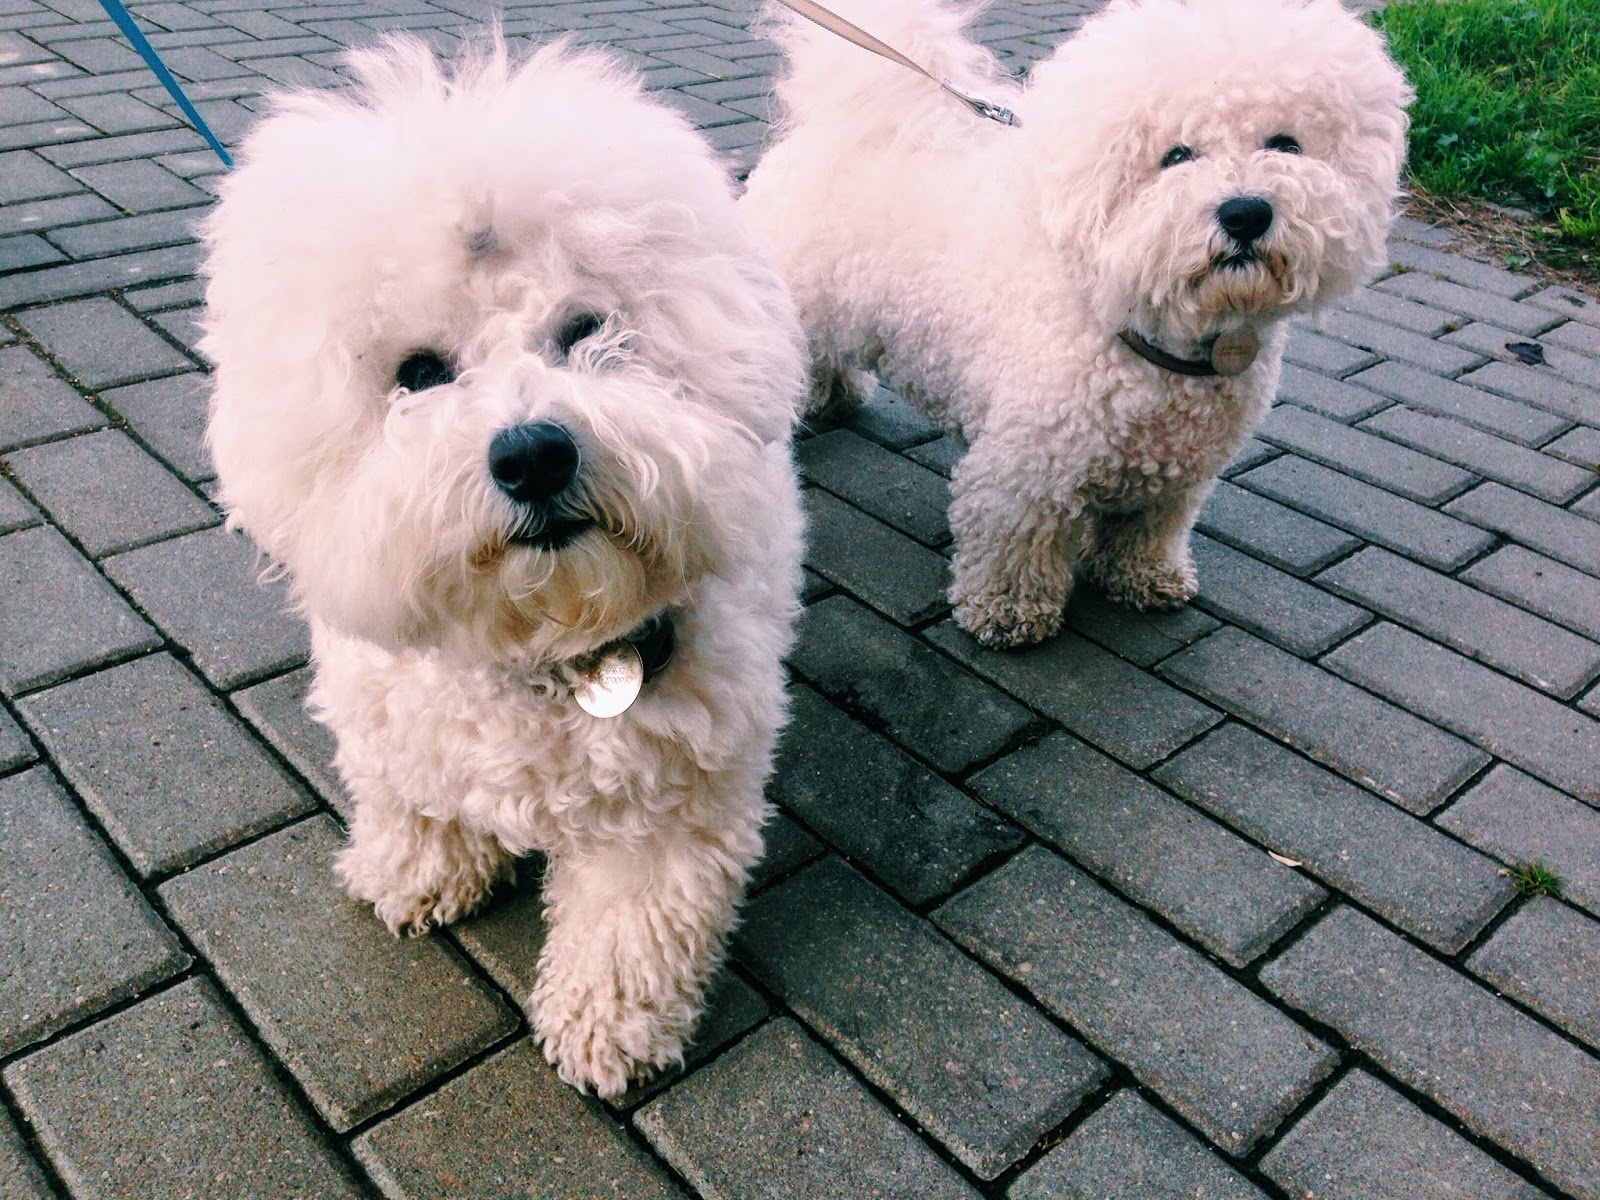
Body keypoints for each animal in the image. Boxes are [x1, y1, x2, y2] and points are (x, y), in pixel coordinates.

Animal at [201, 36, 808, 1097]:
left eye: (588, 331)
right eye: (418, 374)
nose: (533, 455)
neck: (536, 642)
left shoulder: (670, 806)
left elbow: (630, 927)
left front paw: (605, 1028)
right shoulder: (392, 723)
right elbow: (411, 801)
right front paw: (415, 872)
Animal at [744, 0, 1410, 648]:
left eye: (1287, 144)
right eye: (1176, 156)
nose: (1246, 212)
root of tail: (832, 125)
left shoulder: (1179, 473)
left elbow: (1149, 526)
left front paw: (1143, 576)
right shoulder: (1028, 467)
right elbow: (1016, 541)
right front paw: (1007, 612)